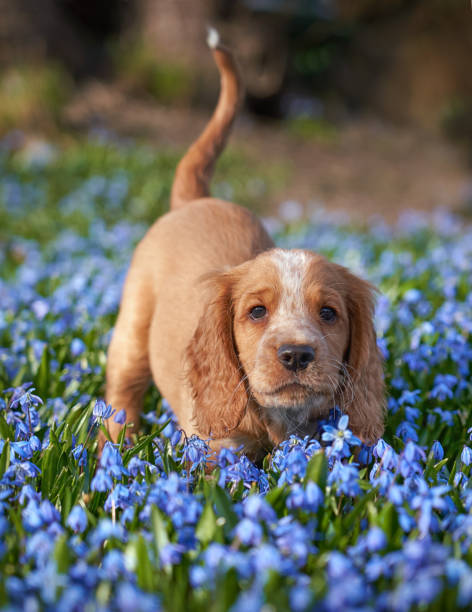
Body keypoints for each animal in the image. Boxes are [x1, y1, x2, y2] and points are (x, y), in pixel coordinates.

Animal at [103, 29, 384, 460]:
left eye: (329, 313)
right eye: (256, 312)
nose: (296, 355)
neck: (280, 419)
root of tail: (196, 198)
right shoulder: (216, 449)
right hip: (132, 331)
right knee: (121, 398)